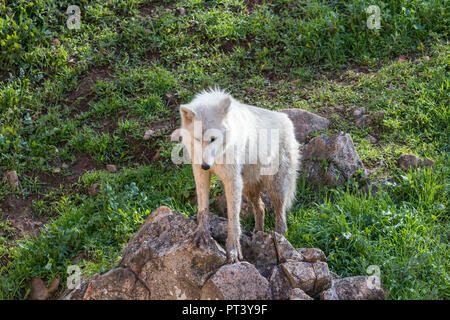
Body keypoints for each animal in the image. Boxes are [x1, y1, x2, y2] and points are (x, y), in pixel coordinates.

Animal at [178, 87, 298, 262]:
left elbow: (233, 218)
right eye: (198, 139)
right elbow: (203, 208)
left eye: (213, 138)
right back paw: (257, 233)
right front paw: (202, 233)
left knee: (280, 215)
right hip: (248, 188)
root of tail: (286, 120)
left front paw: (233, 249)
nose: (206, 165)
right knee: (261, 207)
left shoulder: (232, 180)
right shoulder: (200, 173)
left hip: (275, 187)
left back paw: (279, 239)